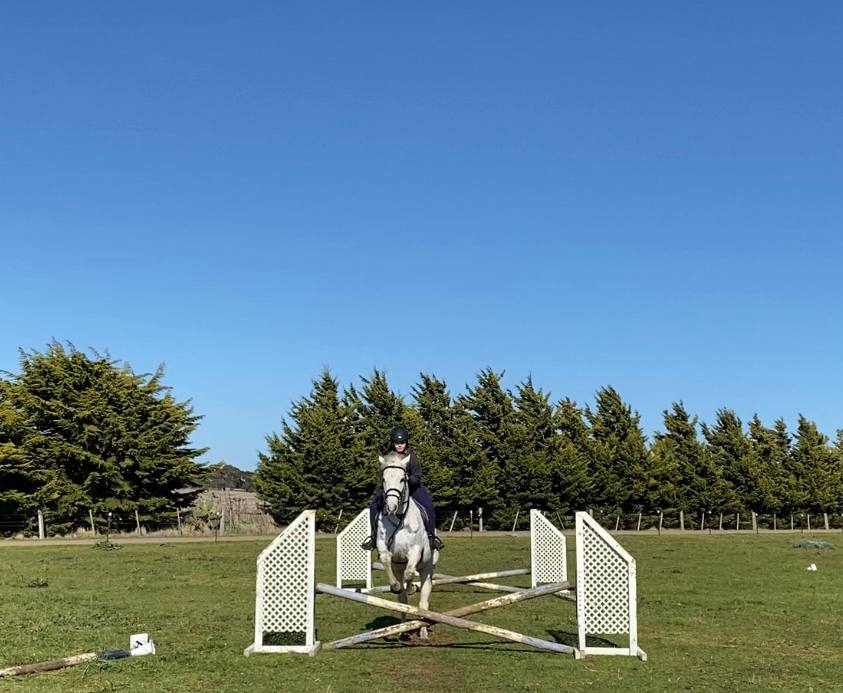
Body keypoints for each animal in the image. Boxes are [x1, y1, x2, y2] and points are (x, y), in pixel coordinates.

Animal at [378, 448, 438, 636]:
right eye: (384, 479)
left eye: (402, 479)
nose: (390, 507)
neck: (399, 519)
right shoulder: (385, 548)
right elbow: (386, 560)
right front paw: (395, 585)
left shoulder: (416, 550)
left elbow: (410, 573)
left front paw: (411, 587)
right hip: (399, 566)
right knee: (403, 600)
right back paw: (401, 630)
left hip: (428, 568)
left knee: (423, 602)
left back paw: (423, 630)